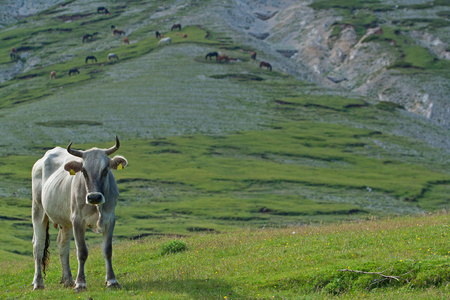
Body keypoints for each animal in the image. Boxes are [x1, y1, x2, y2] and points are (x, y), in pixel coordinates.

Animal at [31, 137, 126, 292]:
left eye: (105, 170)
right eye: (84, 171)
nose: (94, 197)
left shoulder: (110, 219)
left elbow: (107, 250)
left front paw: (112, 280)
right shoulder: (77, 220)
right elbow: (82, 252)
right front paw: (81, 283)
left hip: (65, 220)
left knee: (62, 245)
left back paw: (68, 280)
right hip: (38, 210)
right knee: (38, 246)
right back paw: (38, 283)